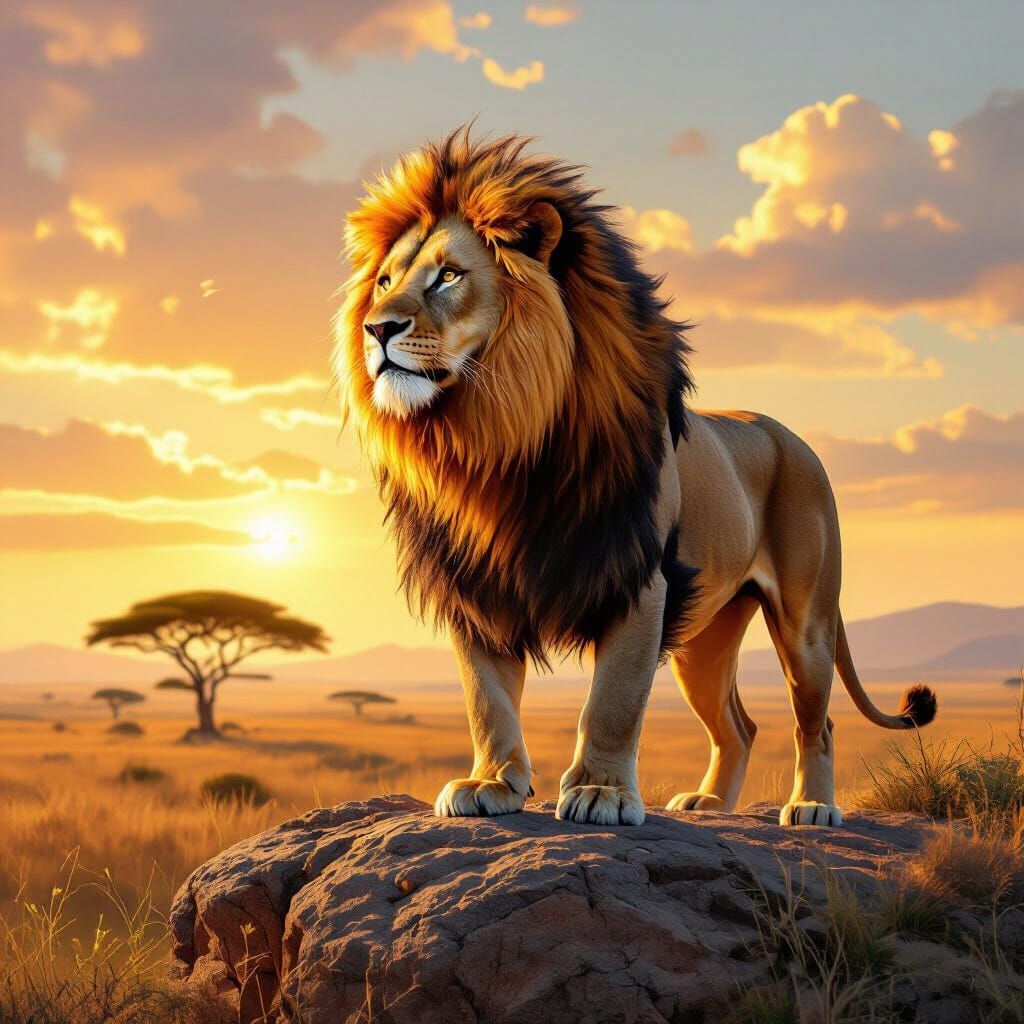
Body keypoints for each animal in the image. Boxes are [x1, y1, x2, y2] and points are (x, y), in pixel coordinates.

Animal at [335, 128, 937, 828]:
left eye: (450, 276)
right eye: (383, 281)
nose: (377, 328)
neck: (497, 442)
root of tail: (791, 436)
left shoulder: (639, 578)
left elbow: (614, 701)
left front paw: (602, 793)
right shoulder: (476, 587)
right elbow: (487, 699)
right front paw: (491, 783)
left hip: (805, 622)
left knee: (816, 722)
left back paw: (812, 806)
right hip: (706, 636)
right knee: (738, 725)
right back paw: (709, 804)